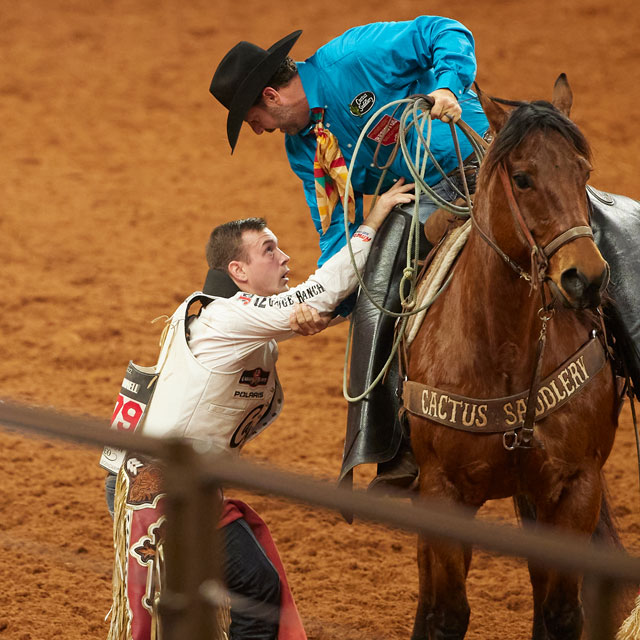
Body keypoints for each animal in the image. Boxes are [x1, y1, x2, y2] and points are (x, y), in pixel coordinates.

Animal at [408, 76, 624, 640]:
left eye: (583, 171)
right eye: (523, 178)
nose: (586, 278)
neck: (504, 350)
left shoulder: (575, 488)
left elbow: (561, 613)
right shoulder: (442, 489)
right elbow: (447, 613)